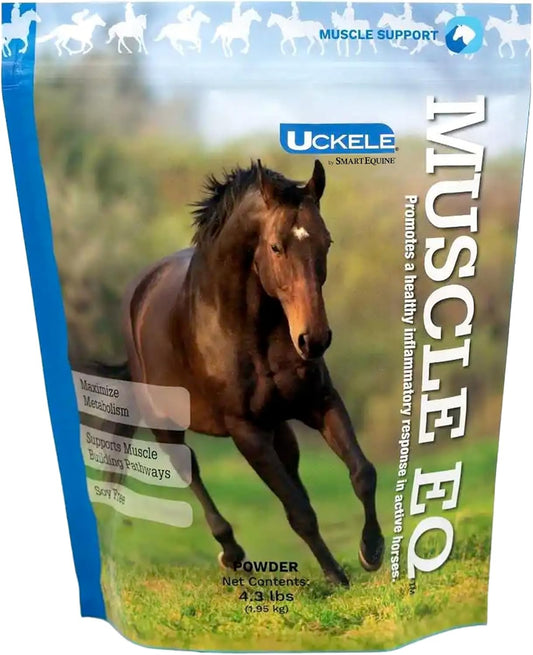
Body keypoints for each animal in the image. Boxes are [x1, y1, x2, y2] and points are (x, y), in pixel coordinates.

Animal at [100, 161, 384, 585]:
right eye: (276, 247)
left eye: (327, 242)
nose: (313, 339)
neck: (248, 330)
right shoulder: (245, 431)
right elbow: (299, 511)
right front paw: (335, 576)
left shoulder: (320, 402)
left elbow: (362, 473)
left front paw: (372, 550)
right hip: (166, 425)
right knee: (191, 471)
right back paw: (231, 552)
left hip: (279, 426)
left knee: (292, 470)